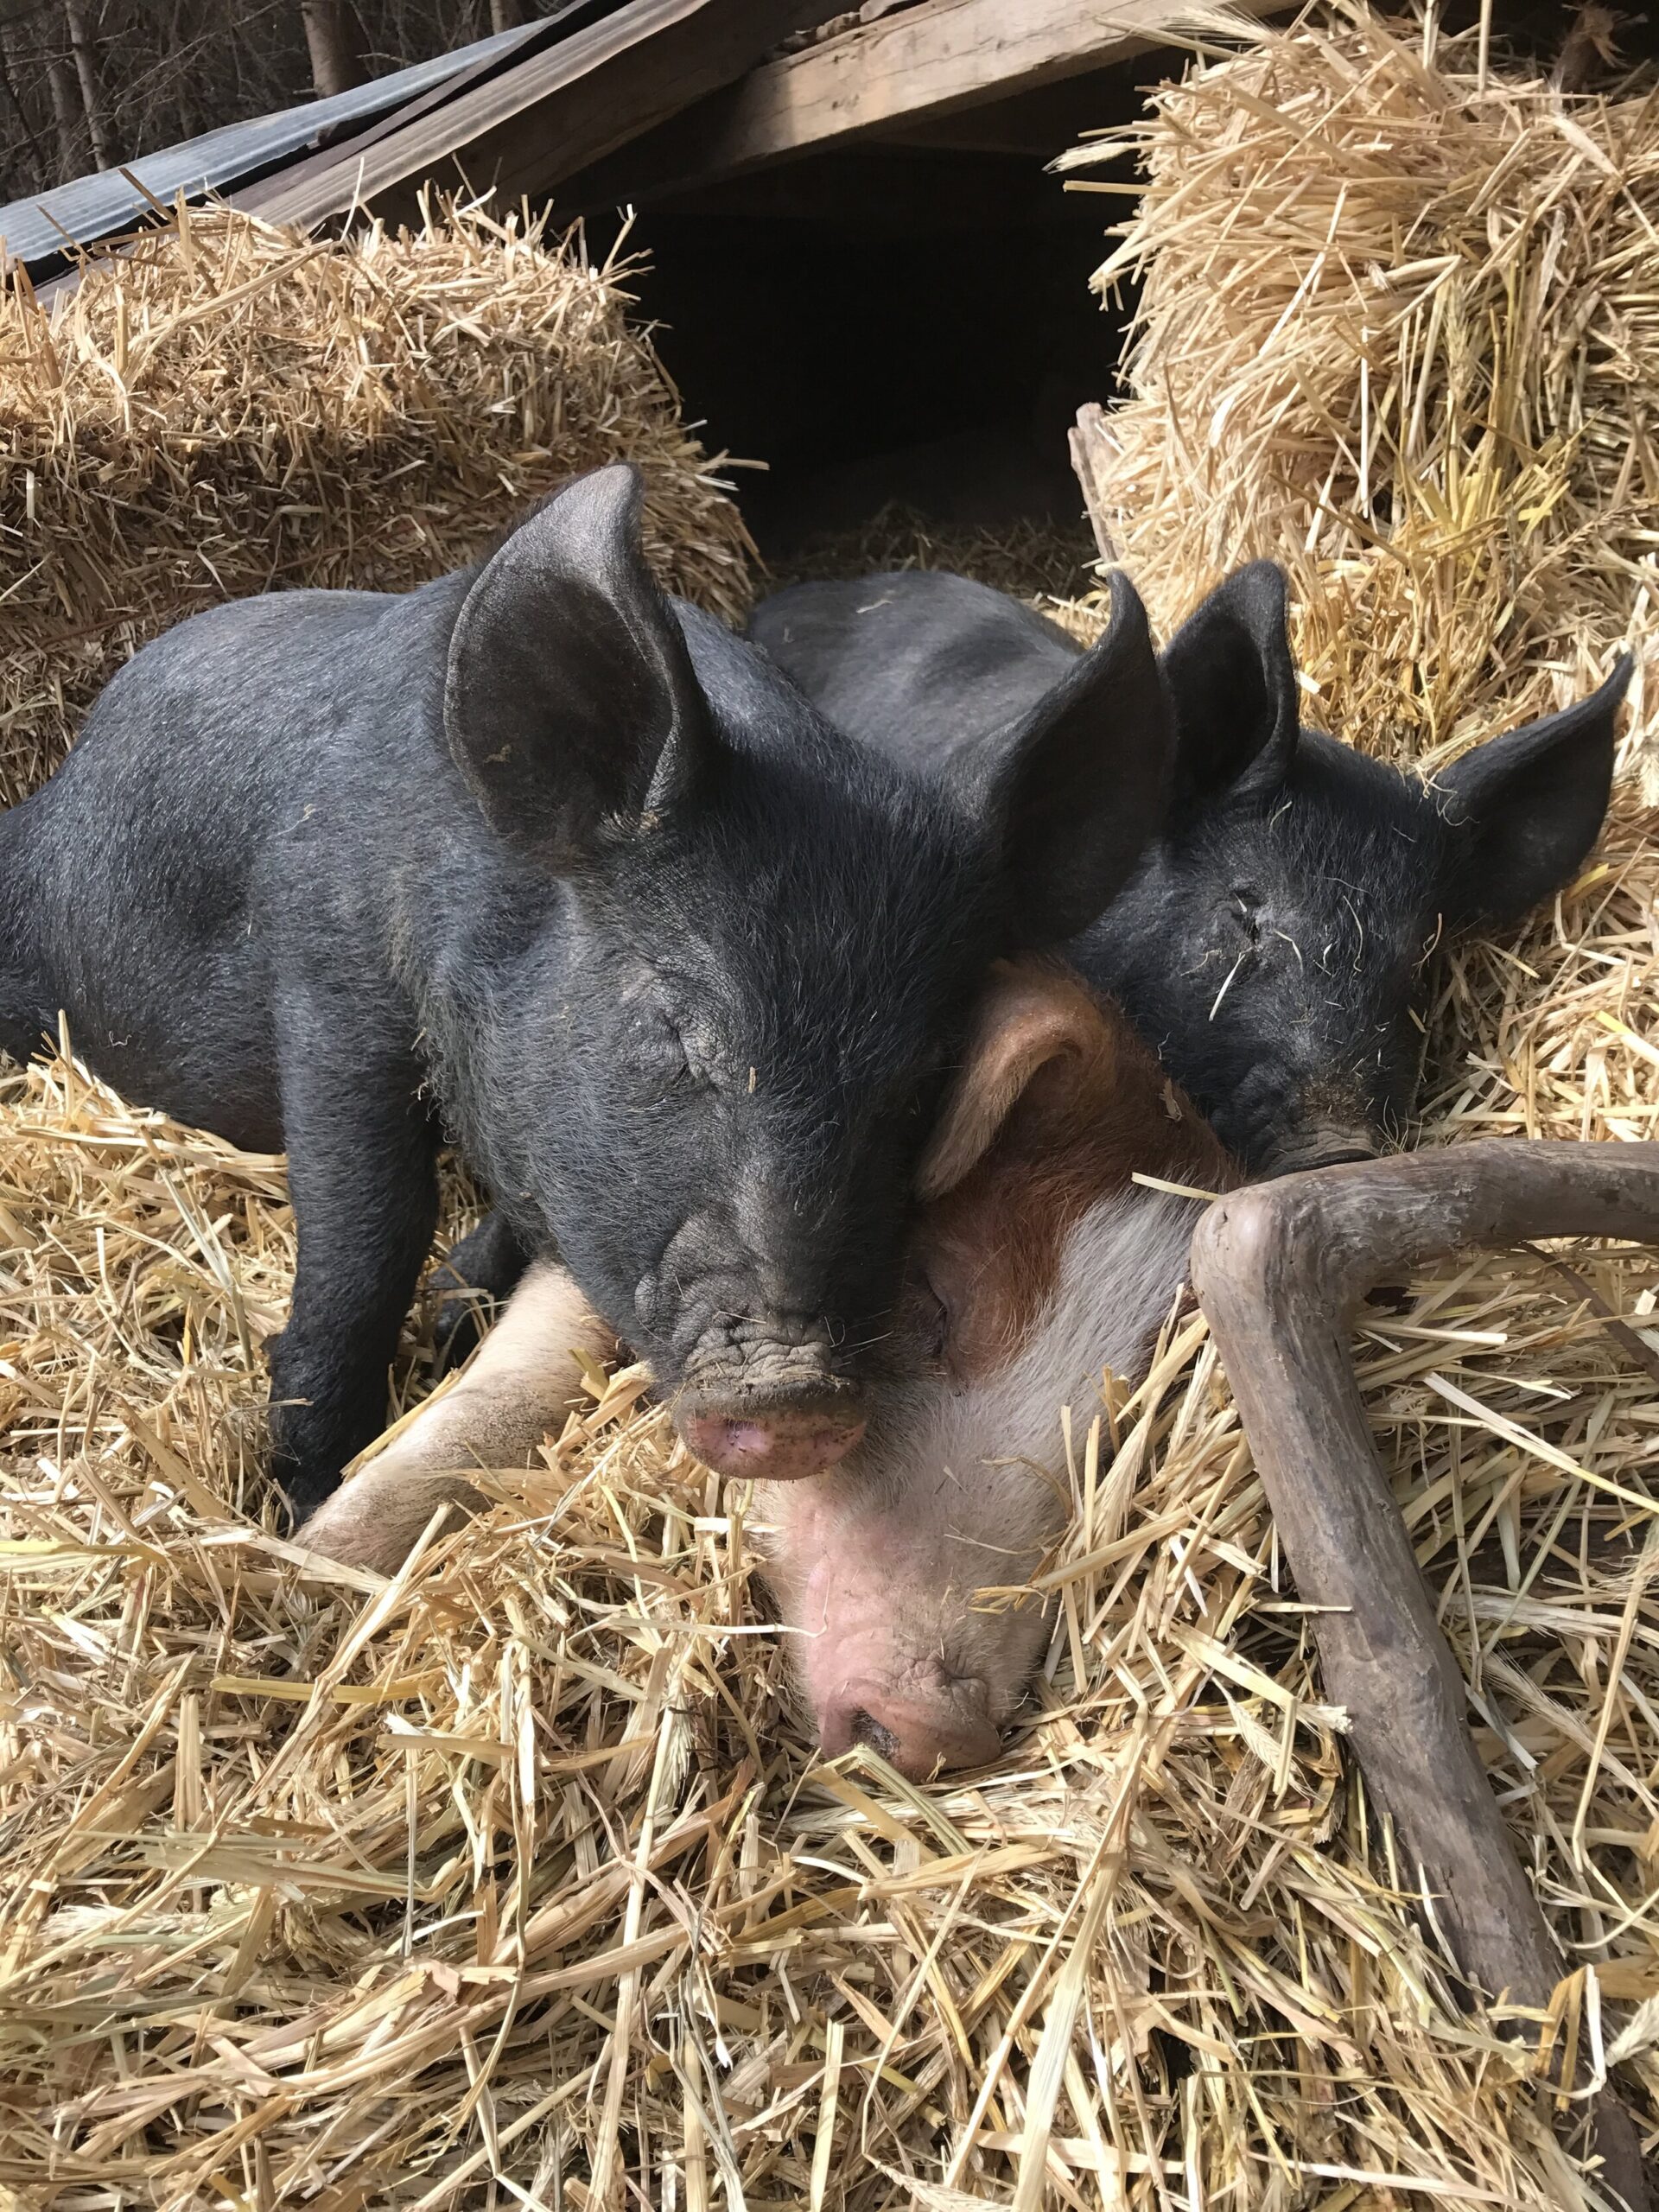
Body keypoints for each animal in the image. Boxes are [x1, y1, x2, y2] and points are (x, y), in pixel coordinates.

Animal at [0, 467, 1177, 1520]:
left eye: (920, 1079)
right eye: (675, 1025)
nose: (798, 1399)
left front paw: (454, 1314)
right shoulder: (328, 972)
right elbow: (368, 1221)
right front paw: (303, 1495)